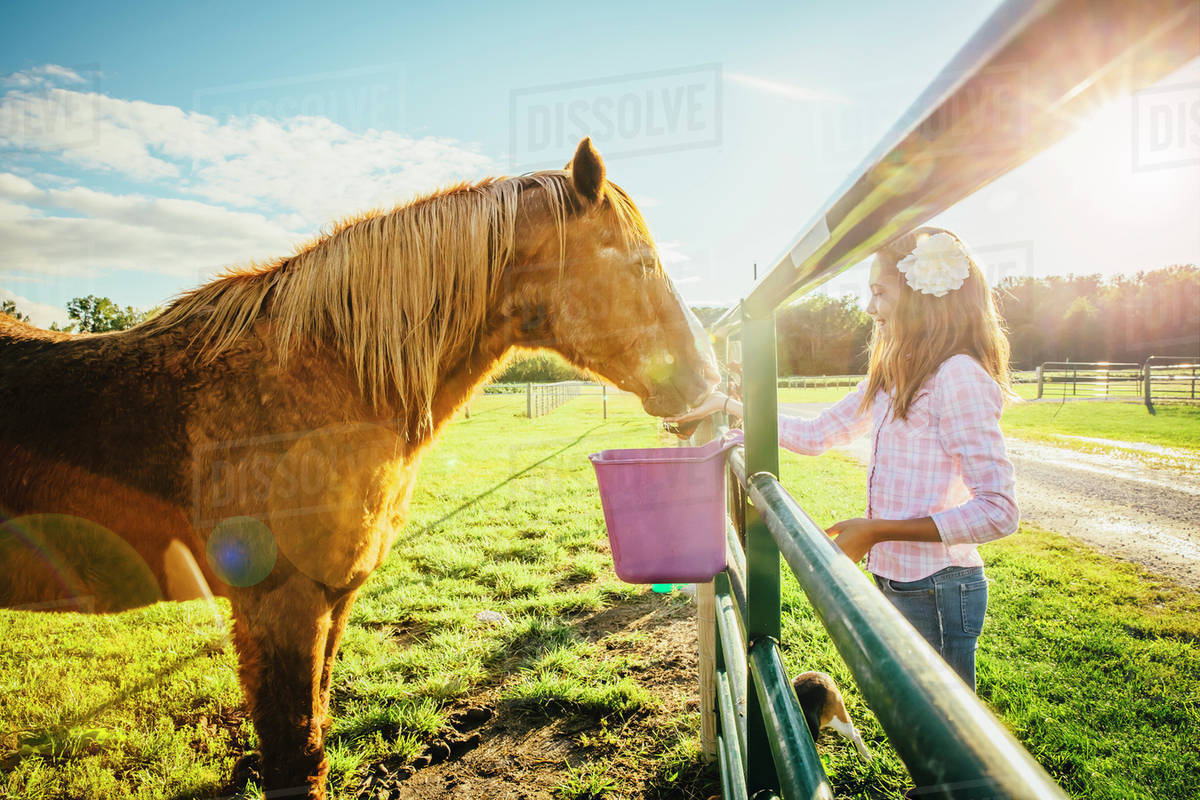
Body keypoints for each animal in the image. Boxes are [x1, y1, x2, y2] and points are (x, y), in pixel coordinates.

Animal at [0, 137, 719, 799]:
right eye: (643, 263)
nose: (708, 379)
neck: (316, 384)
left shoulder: (332, 597)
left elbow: (314, 734)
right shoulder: (279, 605)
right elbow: (294, 759)